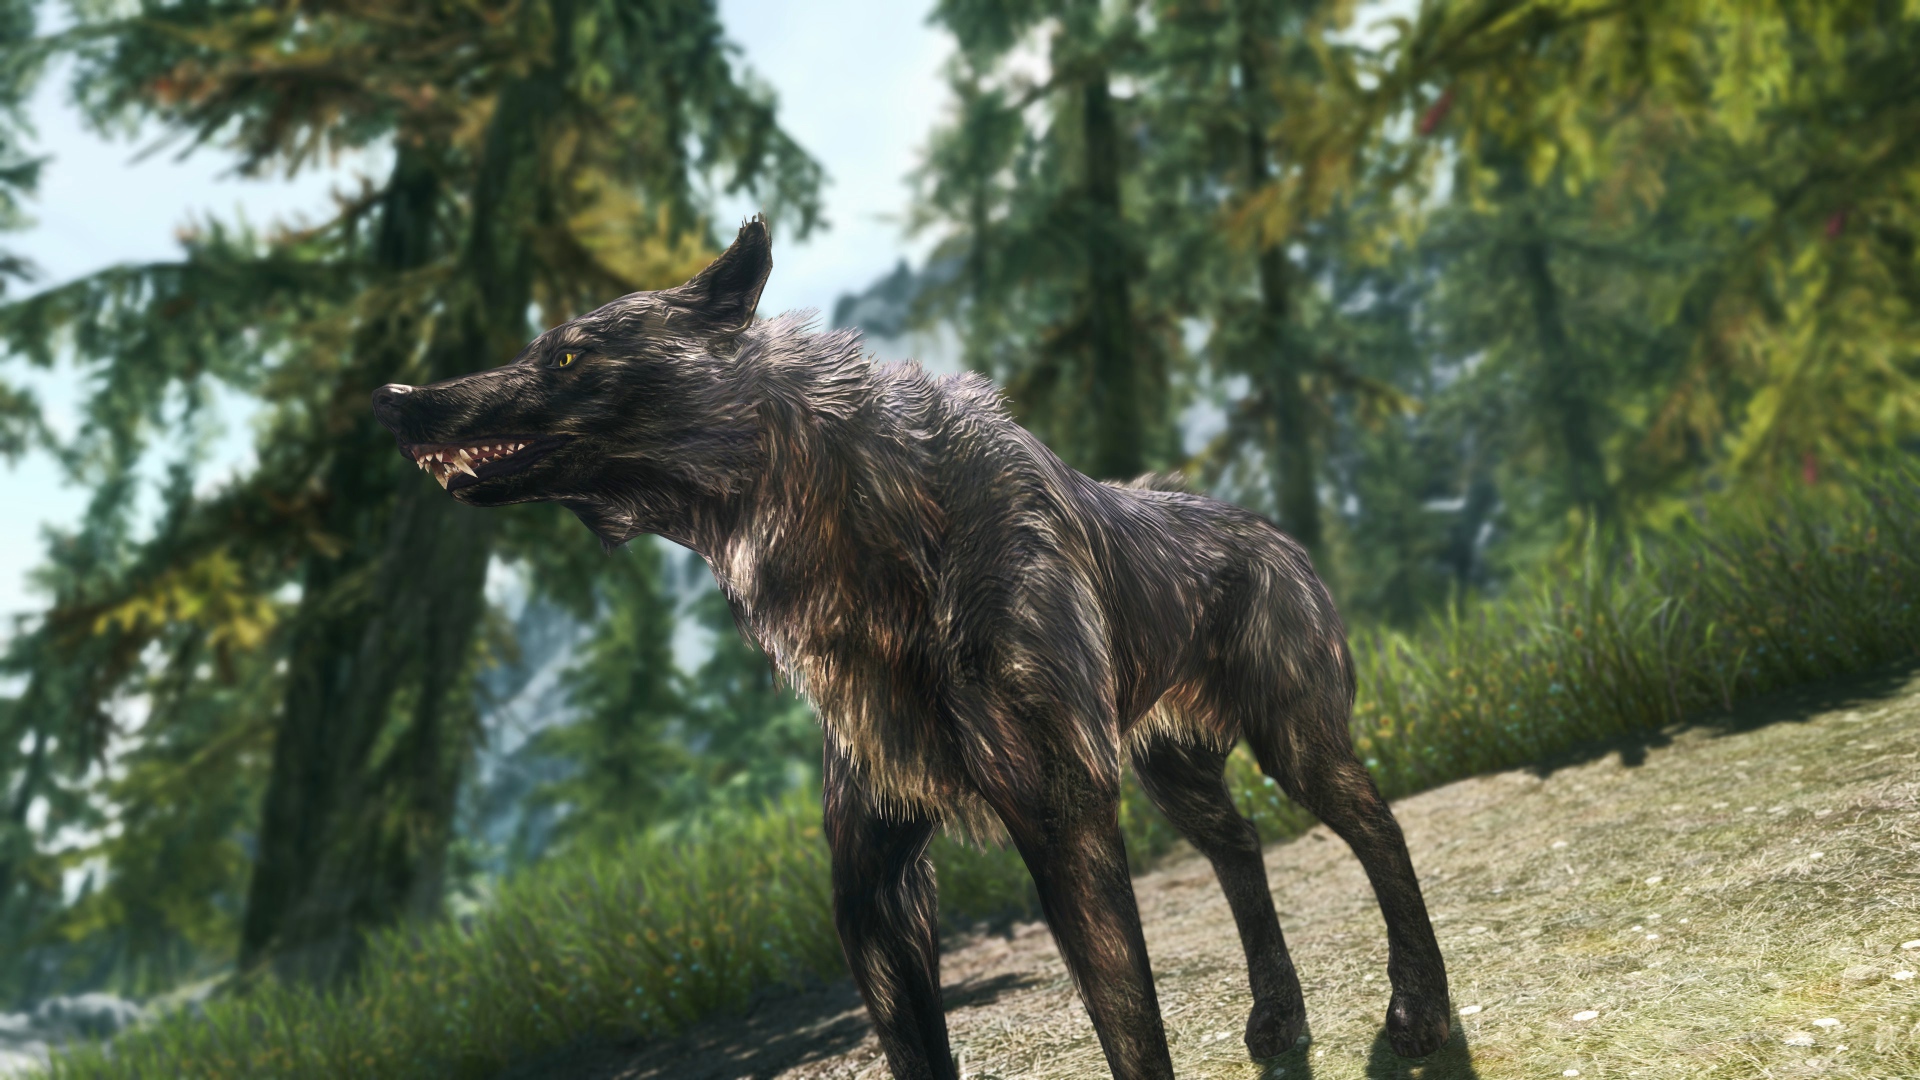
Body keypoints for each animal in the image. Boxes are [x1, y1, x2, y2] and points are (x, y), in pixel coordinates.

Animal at [371, 219, 1451, 1079]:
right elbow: (920, 1053)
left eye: (563, 357)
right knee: (1243, 848)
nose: (390, 394)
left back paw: (1420, 1012)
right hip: (1176, 777)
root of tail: (1277, 536)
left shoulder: (1063, 823)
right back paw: (1278, 1017)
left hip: (1295, 748)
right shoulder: (874, 889)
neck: (868, 536)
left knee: (1381, 833)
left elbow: (1132, 1032)